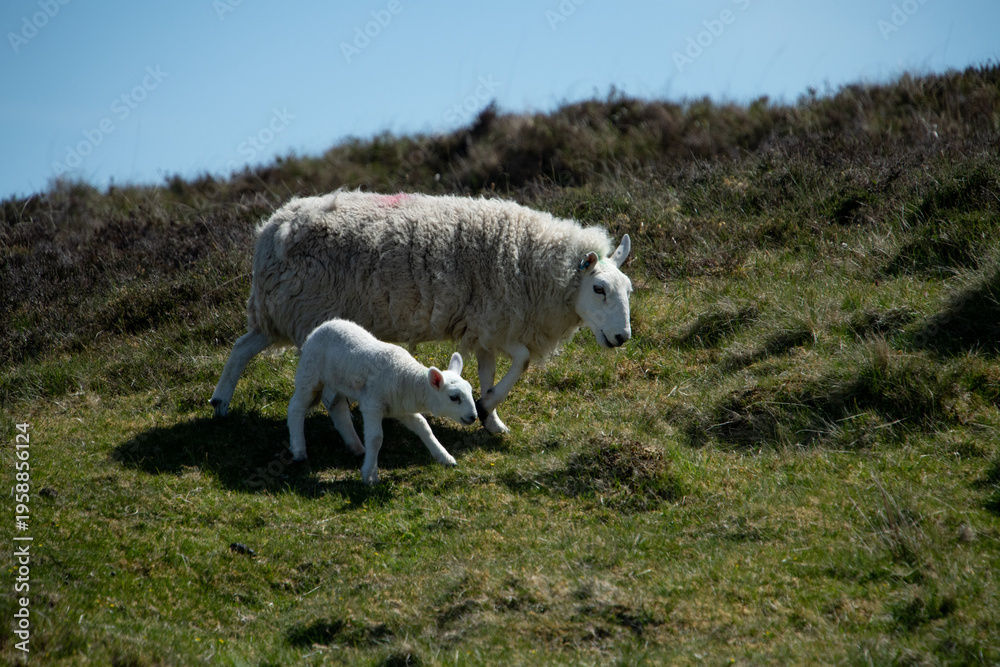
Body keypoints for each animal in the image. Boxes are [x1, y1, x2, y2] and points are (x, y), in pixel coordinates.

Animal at [211, 190, 633, 433]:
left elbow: (489, 371)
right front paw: (487, 407)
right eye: (599, 289)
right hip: (305, 311)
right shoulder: (495, 319)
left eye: (628, 290)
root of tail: (271, 228)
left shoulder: (486, 325)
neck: (534, 262)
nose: (622, 337)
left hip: (280, 312)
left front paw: (492, 420)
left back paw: (220, 403)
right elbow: (522, 361)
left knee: (241, 347)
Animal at [287, 318, 478, 485]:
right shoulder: (372, 405)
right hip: (310, 372)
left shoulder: (401, 407)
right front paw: (370, 475)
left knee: (338, 410)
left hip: (337, 381)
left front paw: (444, 457)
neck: (405, 376)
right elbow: (375, 438)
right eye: (454, 397)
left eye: (470, 391)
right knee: (296, 407)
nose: (473, 417)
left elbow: (424, 427)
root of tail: (324, 325)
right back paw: (299, 450)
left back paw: (356, 447)